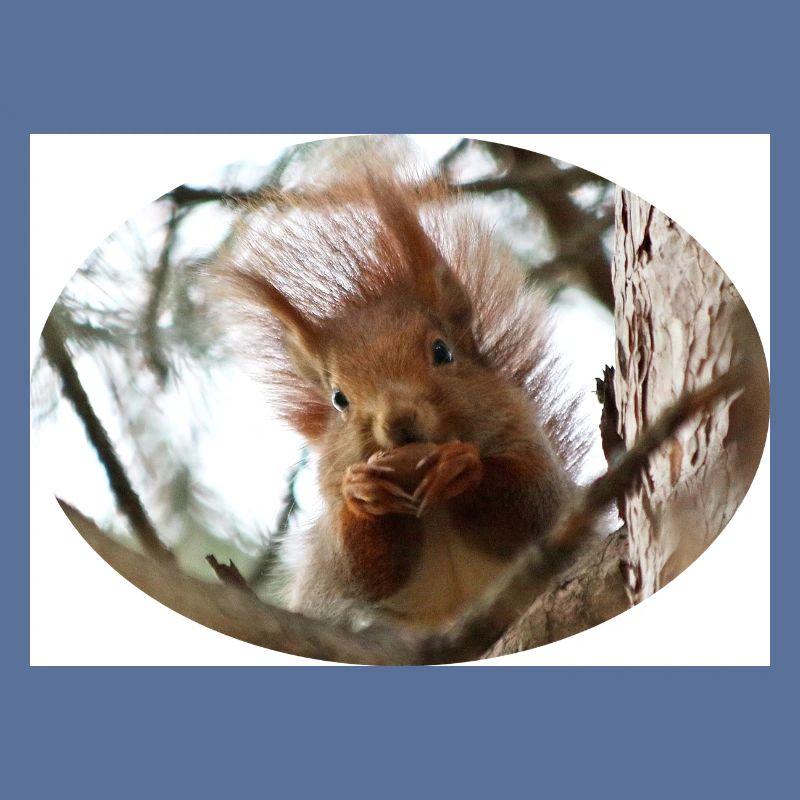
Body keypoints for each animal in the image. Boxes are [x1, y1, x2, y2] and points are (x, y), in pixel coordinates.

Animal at [221, 145, 587, 629]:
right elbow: (357, 569)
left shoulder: (535, 459)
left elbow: (534, 506)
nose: (398, 422)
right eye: (339, 399)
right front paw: (363, 491)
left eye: (442, 352)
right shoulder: (334, 553)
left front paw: (462, 466)